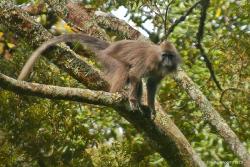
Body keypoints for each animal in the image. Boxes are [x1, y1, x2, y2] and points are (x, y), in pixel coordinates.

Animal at [18, 33, 182, 117]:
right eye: (164, 55)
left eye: (170, 56)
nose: (167, 60)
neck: (160, 63)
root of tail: (109, 47)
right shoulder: (150, 62)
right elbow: (135, 74)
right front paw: (133, 101)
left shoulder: (161, 72)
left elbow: (151, 84)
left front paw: (152, 108)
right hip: (108, 58)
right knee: (124, 69)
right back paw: (117, 93)